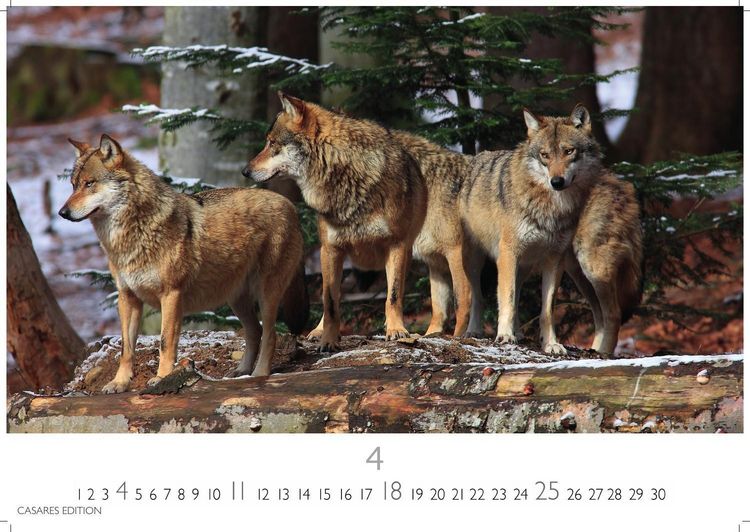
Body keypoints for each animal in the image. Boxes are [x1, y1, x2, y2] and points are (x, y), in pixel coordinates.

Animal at [59, 134, 308, 393]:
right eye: (74, 185)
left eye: (90, 183)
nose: (62, 212)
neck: (130, 237)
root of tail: (290, 205)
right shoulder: (127, 297)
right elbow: (126, 348)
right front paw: (120, 383)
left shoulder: (171, 295)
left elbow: (165, 341)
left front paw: (161, 378)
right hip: (236, 299)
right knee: (254, 331)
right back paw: (241, 372)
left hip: (267, 294)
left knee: (270, 333)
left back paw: (259, 374)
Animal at [244, 92, 427, 351]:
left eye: (271, 143)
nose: (245, 171)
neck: (347, 177)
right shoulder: (330, 248)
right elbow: (329, 301)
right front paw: (328, 340)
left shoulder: (397, 245)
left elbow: (392, 295)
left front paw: (396, 330)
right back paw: (318, 331)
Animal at [461, 104, 603, 354]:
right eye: (544, 155)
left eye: (568, 151)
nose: (556, 182)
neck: (552, 207)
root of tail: (473, 159)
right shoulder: (508, 253)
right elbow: (506, 298)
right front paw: (504, 335)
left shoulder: (555, 260)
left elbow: (546, 310)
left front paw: (551, 343)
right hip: (476, 261)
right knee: (479, 297)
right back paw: (475, 331)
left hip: (524, 266)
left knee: (516, 295)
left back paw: (518, 332)